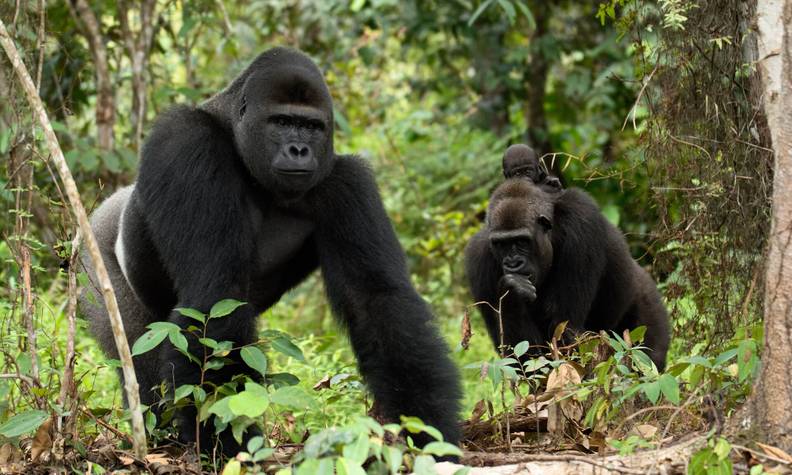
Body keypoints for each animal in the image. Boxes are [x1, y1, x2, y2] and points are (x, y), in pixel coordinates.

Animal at [79, 47, 458, 454]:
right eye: (281, 121)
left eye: (311, 127)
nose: (299, 150)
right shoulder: (184, 141)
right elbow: (216, 296)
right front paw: (231, 446)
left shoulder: (346, 182)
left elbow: (377, 300)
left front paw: (430, 429)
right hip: (94, 257)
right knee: (138, 351)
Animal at [464, 178, 668, 372]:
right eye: (501, 244)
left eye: (522, 241)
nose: (513, 264)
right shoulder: (477, 258)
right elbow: (519, 357)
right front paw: (512, 292)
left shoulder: (581, 218)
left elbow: (564, 333)